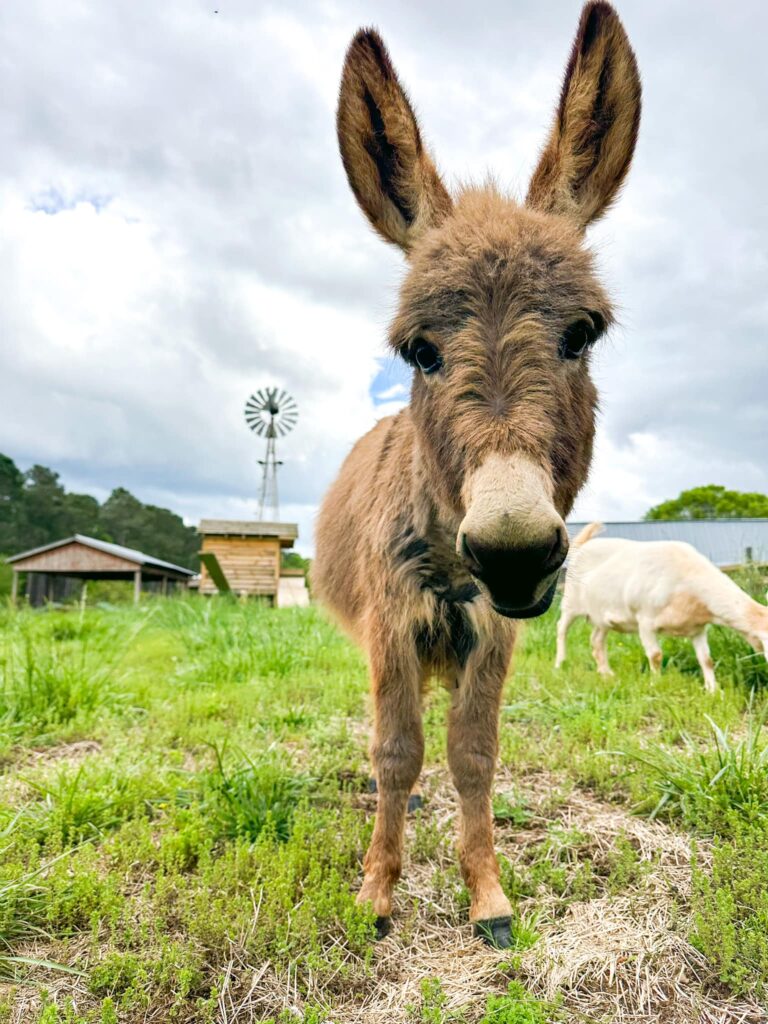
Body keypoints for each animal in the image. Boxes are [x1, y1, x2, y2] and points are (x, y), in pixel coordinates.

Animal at [557, 524, 768, 692]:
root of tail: (582, 545)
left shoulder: (698, 629)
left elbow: (706, 659)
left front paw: (713, 690)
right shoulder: (645, 620)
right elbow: (656, 656)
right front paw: (655, 685)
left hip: (601, 615)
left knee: (596, 640)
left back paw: (606, 673)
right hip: (570, 602)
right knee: (561, 629)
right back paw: (559, 664)